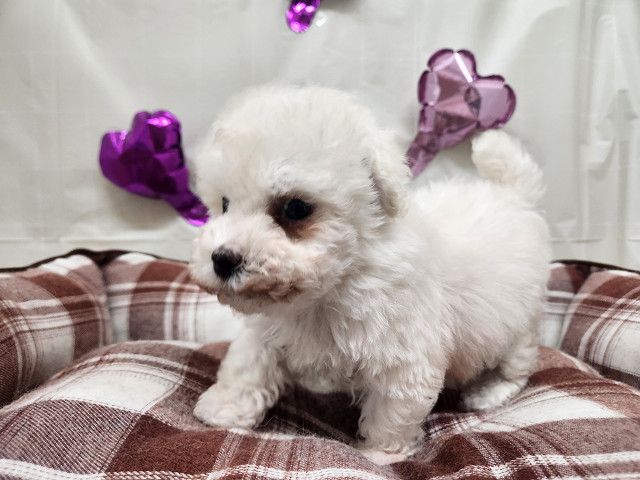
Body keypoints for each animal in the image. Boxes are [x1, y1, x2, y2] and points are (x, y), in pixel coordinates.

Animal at [189, 85, 551, 464]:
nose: (222, 259)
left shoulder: (404, 351)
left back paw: (489, 391)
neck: (328, 290)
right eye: (224, 204)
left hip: (518, 320)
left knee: (518, 361)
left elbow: (394, 408)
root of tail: (513, 195)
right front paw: (223, 408)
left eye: (296, 208)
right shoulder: (268, 327)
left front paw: (379, 455)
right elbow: (248, 362)